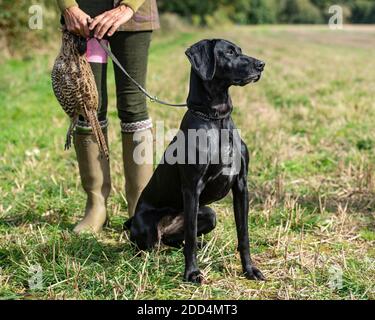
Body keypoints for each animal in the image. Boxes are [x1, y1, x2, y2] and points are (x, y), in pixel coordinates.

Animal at [125, 39, 266, 282]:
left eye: (239, 50)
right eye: (229, 52)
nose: (261, 65)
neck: (216, 119)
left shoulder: (241, 185)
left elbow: (243, 234)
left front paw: (250, 269)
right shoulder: (192, 187)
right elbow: (190, 235)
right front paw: (191, 273)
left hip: (209, 214)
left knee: (173, 240)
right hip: (148, 229)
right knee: (154, 245)